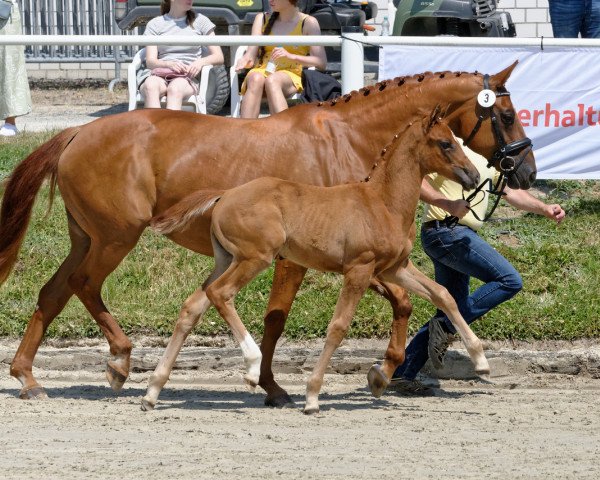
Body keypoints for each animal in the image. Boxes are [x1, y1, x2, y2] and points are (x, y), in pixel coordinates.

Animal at [144, 109, 488, 412]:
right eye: (445, 143)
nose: (472, 176)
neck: (382, 202)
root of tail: (224, 195)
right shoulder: (360, 269)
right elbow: (338, 327)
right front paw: (311, 396)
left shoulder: (395, 269)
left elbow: (443, 295)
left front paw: (481, 362)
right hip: (255, 257)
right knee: (221, 294)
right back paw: (252, 366)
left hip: (226, 259)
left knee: (193, 306)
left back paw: (152, 391)